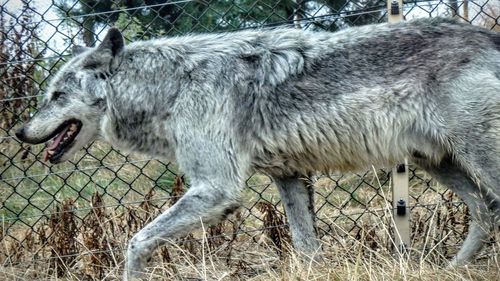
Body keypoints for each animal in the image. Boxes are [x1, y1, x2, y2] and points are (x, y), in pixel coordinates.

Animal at [15, 18, 500, 278]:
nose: (20, 131)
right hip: (439, 163)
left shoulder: (216, 188)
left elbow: (136, 242)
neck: (170, 88)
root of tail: (487, 36)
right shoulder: (288, 176)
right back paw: (453, 270)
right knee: (485, 211)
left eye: (56, 95)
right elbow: (306, 247)